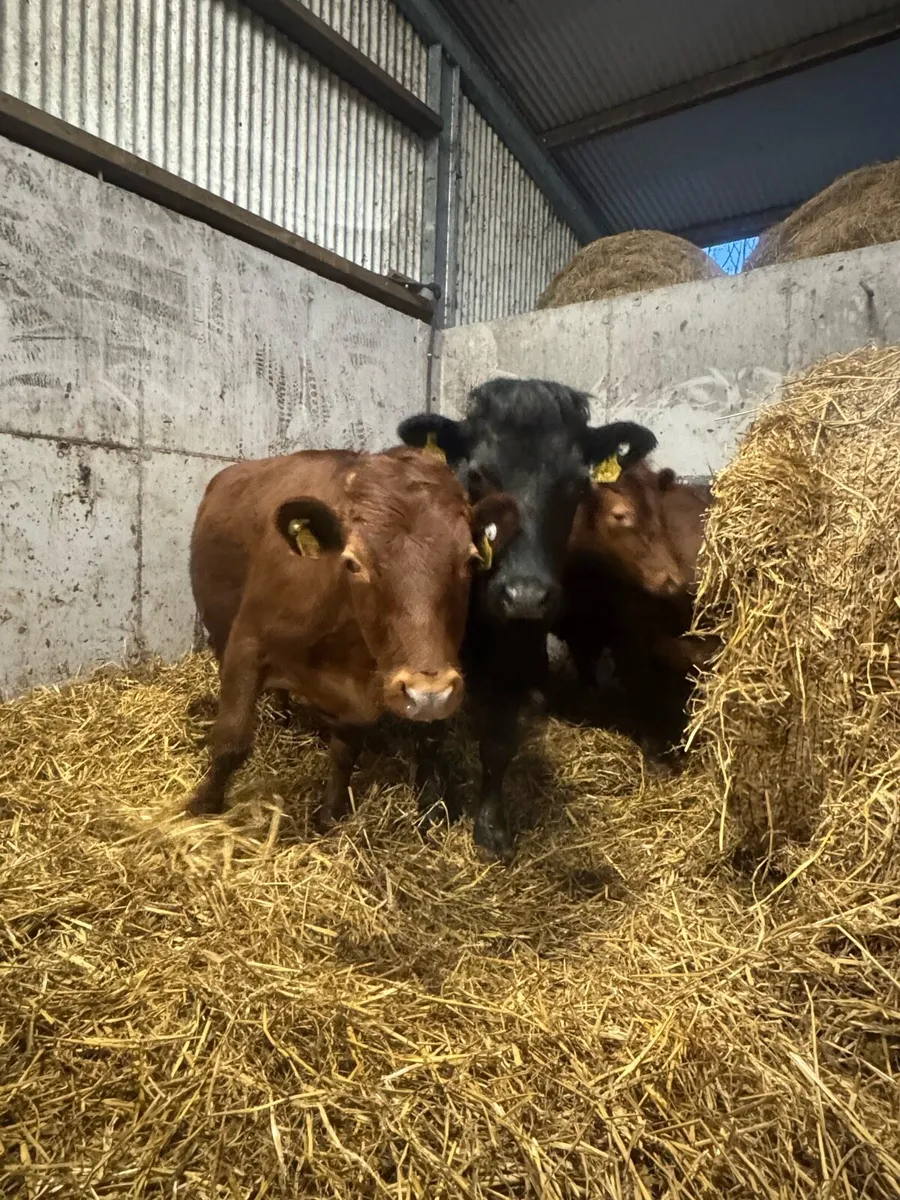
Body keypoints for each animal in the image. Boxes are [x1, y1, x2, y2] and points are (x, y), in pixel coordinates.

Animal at [186, 447, 517, 824]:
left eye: (470, 561)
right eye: (354, 563)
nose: (428, 695)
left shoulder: (359, 699)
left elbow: (345, 753)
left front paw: (330, 814)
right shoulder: (247, 643)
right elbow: (231, 740)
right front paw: (203, 806)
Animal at [398, 378, 657, 859]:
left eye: (575, 483)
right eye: (477, 476)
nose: (524, 596)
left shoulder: (516, 658)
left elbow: (499, 744)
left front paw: (491, 827)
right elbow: (430, 729)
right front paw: (431, 804)